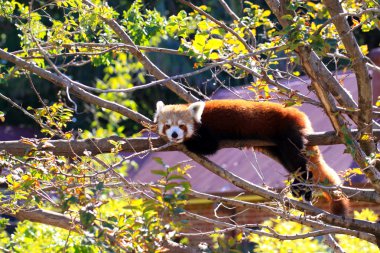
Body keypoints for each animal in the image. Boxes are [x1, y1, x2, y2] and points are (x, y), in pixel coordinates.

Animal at [153, 99, 348, 215]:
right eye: (167, 125)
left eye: (181, 126)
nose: (174, 134)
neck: (200, 118)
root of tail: (298, 114)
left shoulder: (209, 131)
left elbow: (208, 147)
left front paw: (184, 144)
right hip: (276, 147)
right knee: (291, 163)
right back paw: (303, 187)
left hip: (288, 133)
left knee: (297, 160)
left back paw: (303, 183)